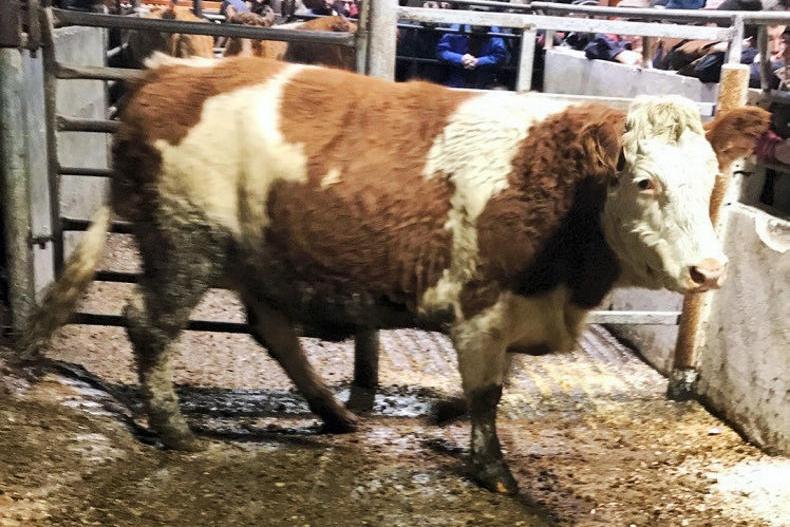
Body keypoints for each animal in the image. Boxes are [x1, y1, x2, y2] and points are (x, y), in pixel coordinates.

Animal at [19, 55, 770, 495]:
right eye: (645, 181)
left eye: (713, 177)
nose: (709, 269)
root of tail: (168, 72)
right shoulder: (483, 306)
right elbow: (490, 393)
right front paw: (492, 469)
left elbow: (495, 386)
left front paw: (442, 411)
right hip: (185, 242)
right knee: (148, 324)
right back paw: (177, 430)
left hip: (256, 255)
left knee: (271, 331)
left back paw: (332, 413)